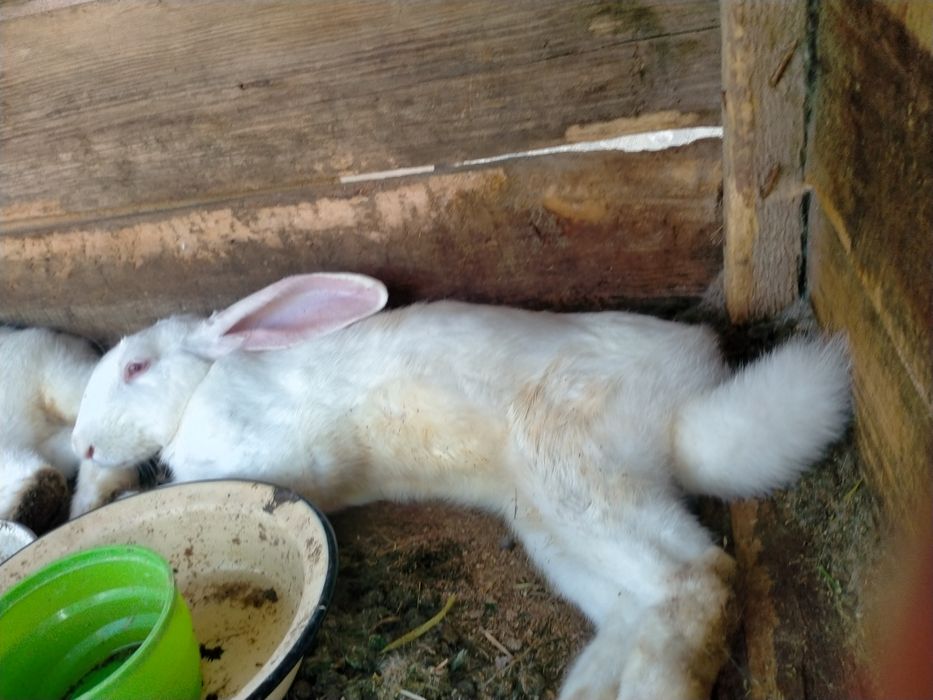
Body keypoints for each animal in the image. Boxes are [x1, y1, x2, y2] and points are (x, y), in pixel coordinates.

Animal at [72, 272, 850, 700]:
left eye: (136, 368)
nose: (81, 443)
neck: (199, 392)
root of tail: (684, 418)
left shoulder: (275, 453)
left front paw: (119, 491)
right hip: (549, 521)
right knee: (640, 602)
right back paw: (591, 689)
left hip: (572, 474)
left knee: (700, 578)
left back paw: (655, 691)